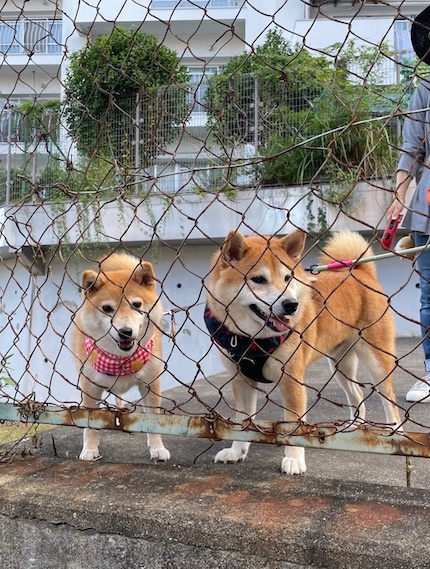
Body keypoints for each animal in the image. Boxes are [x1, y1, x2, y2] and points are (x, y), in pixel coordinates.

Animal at [72, 253, 170, 462]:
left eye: (137, 305)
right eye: (107, 308)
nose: (125, 332)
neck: (120, 359)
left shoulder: (151, 384)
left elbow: (153, 420)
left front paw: (157, 448)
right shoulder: (89, 387)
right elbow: (90, 425)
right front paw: (89, 449)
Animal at [207, 229, 402, 472]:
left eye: (287, 278)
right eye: (258, 279)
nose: (291, 305)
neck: (254, 340)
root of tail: (360, 272)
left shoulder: (291, 380)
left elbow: (292, 424)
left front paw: (293, 459)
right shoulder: (241, 380)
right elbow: (242, 420)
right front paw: (236, 451)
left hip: (377, 360)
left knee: (389, 398)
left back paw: (396, 432)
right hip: (340, 364)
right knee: (357, 393)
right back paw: (353, 426)